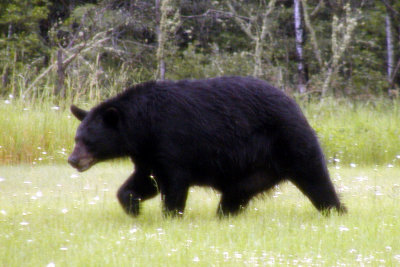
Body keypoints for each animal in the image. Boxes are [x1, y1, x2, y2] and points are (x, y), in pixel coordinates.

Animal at [67, 76, 346, 218]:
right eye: (76, 138)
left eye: (87, 140)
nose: (73, 160)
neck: (143, 125)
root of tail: (297, 106)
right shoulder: (146, 152)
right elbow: (145, 181)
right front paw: (133, 206)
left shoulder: (172, 141)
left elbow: (174, 183)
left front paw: (171, 216)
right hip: (252, 173)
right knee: (235, 195)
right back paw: (224, 216)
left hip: (290, 141)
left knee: (316, 179)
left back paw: (336, 211)